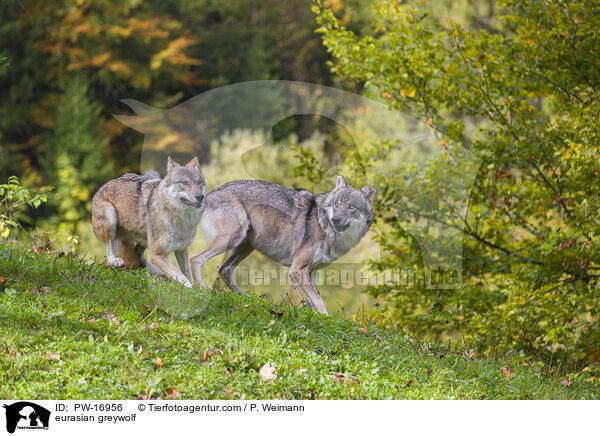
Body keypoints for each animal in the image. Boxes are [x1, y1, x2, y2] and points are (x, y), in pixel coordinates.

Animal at [91, 157, 206, 286]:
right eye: (184, 182)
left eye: (199, 182)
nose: (200, 196)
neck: (181, 218)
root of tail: (102, 187)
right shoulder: (155, 254)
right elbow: (181, 275)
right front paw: (189, 287)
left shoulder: (181, 249)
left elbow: (186, 273)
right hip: (111, 219)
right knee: (110, 251)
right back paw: (115, 261)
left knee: (138, 255)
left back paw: (161, 275)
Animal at [190, 175, 372, 316]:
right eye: (337, 205)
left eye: (351, 207)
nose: (335, 219)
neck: (324, 226)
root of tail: (208, 195)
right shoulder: (297, 269)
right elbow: (319, 301)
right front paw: (326, 319)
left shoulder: (309, 272)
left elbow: (311, 301)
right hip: (232, 240)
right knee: (196, 259)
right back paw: (202, 289)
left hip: (245, 247)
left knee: (224, 269)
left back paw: (247, 299)